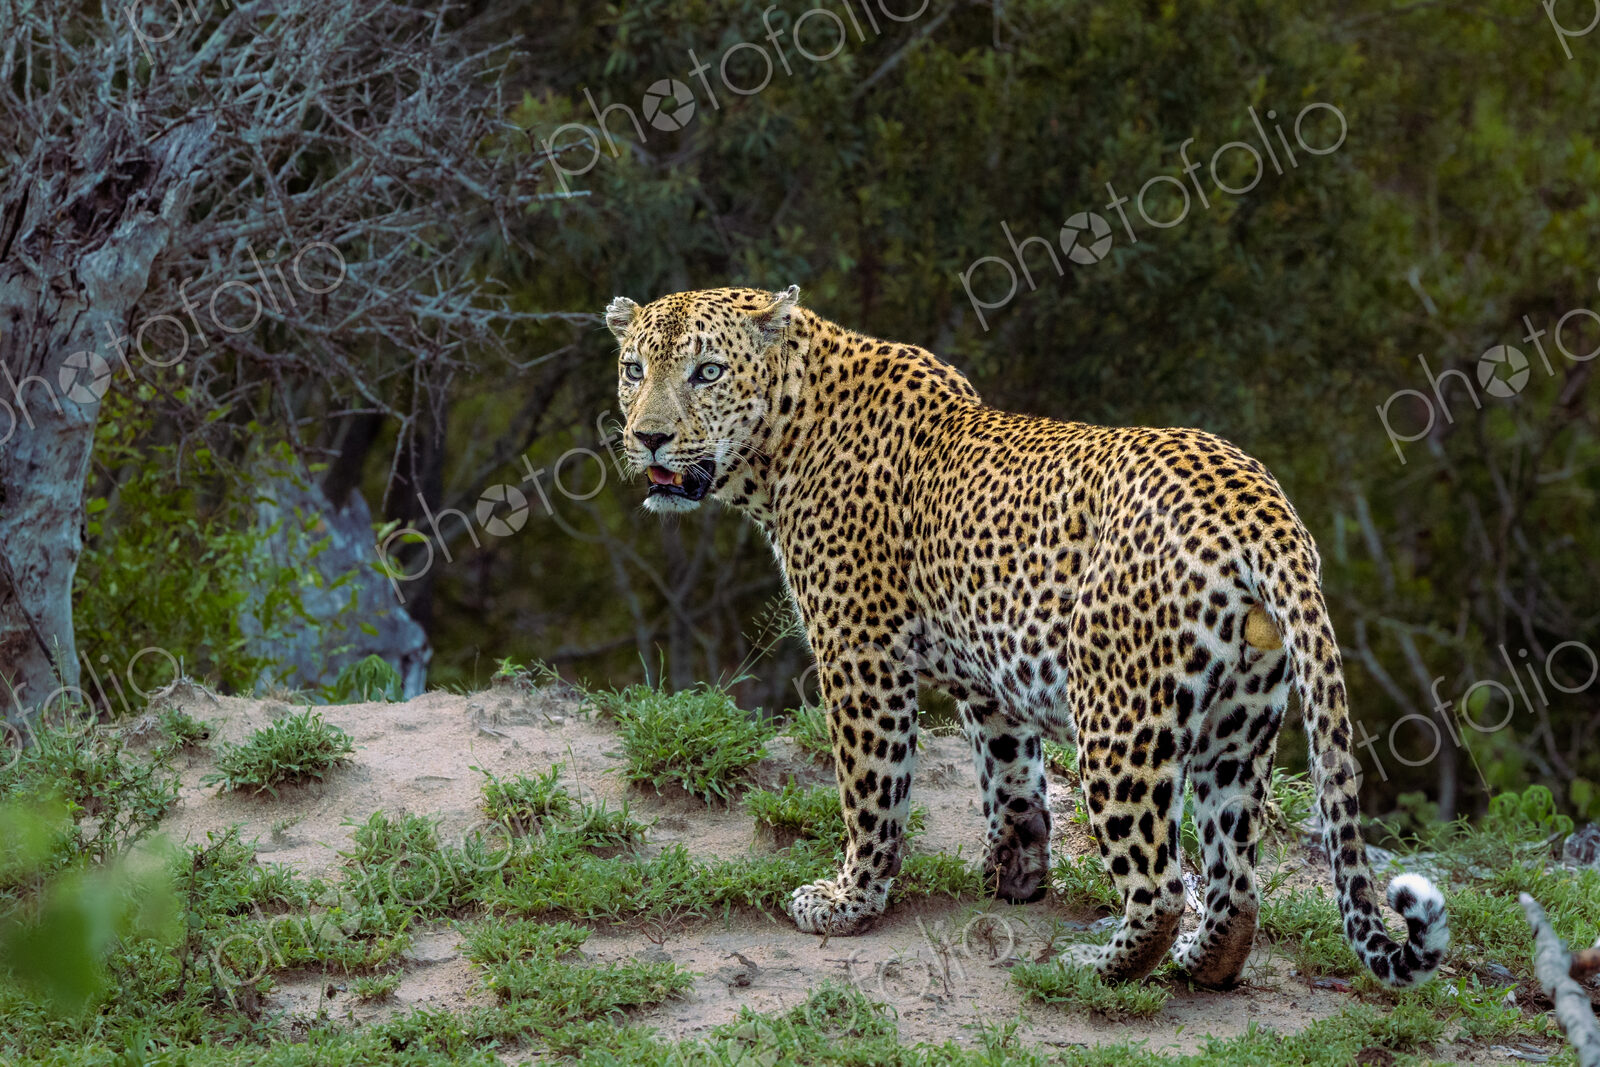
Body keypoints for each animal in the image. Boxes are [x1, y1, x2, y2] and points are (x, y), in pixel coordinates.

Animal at [606, 284, 1448, 988]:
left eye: (707, 371)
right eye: (633, 368)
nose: (648, 437)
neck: (783, 439)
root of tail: (1258, 503)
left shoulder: (858, 651)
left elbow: (872, 789)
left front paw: (850, 901)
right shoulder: (992, 678)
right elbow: (1012, 781)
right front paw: (1015, 879)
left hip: (1119, 716)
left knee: (1161, 883)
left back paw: (1091, 968)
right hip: (1240, 724)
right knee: (1236, 883)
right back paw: (1200, 964)